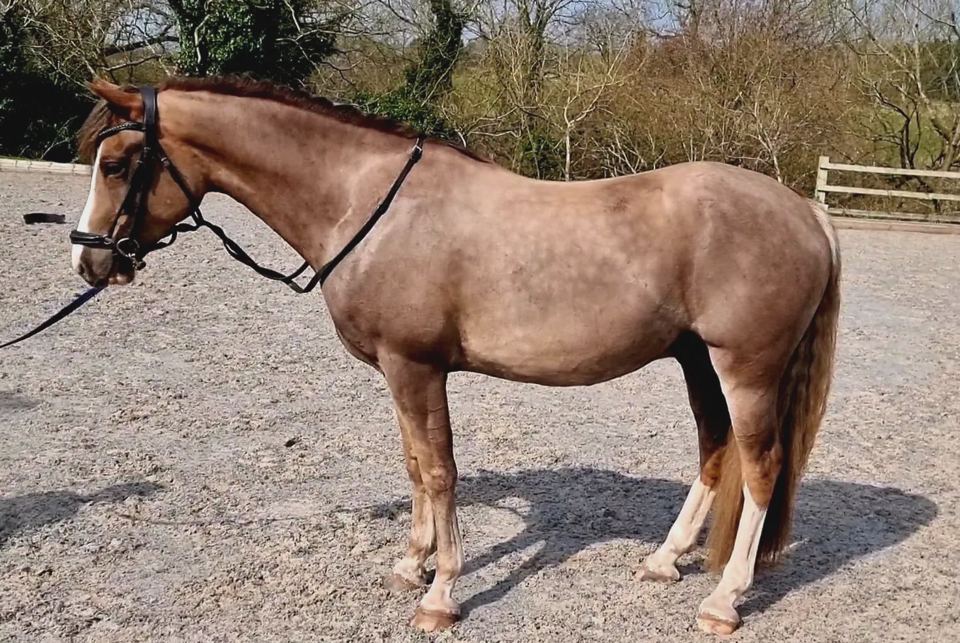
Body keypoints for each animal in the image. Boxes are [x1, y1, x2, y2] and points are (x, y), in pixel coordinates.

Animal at [72, 78, 840, 635]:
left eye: (116, 164)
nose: (88, 262)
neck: (368, 205)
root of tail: (805, 211)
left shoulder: (416, 366)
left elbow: (440, 472)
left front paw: (440, 593)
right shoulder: (397, 370)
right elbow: (415, 466)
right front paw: (410, 565)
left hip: (745, 368)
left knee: (762, 468)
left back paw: (724, 601)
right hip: (696, 362)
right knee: (715, 451)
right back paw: (662, 561)